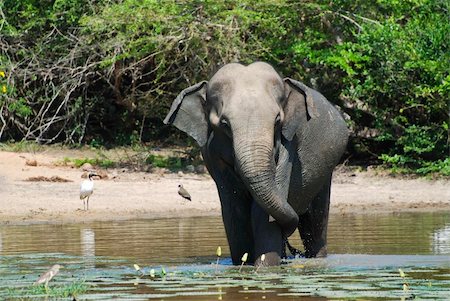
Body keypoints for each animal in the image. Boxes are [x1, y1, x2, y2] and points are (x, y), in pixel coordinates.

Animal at [163, 61, 350, 264]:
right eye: (224, 124)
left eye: (277, 120)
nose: (293, 248)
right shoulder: (212, 155)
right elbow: (235, 210)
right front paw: (244, 263)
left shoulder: (288, 147)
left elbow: (262, 215)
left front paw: (265, 267)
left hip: (325, 173)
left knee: (315, 222)